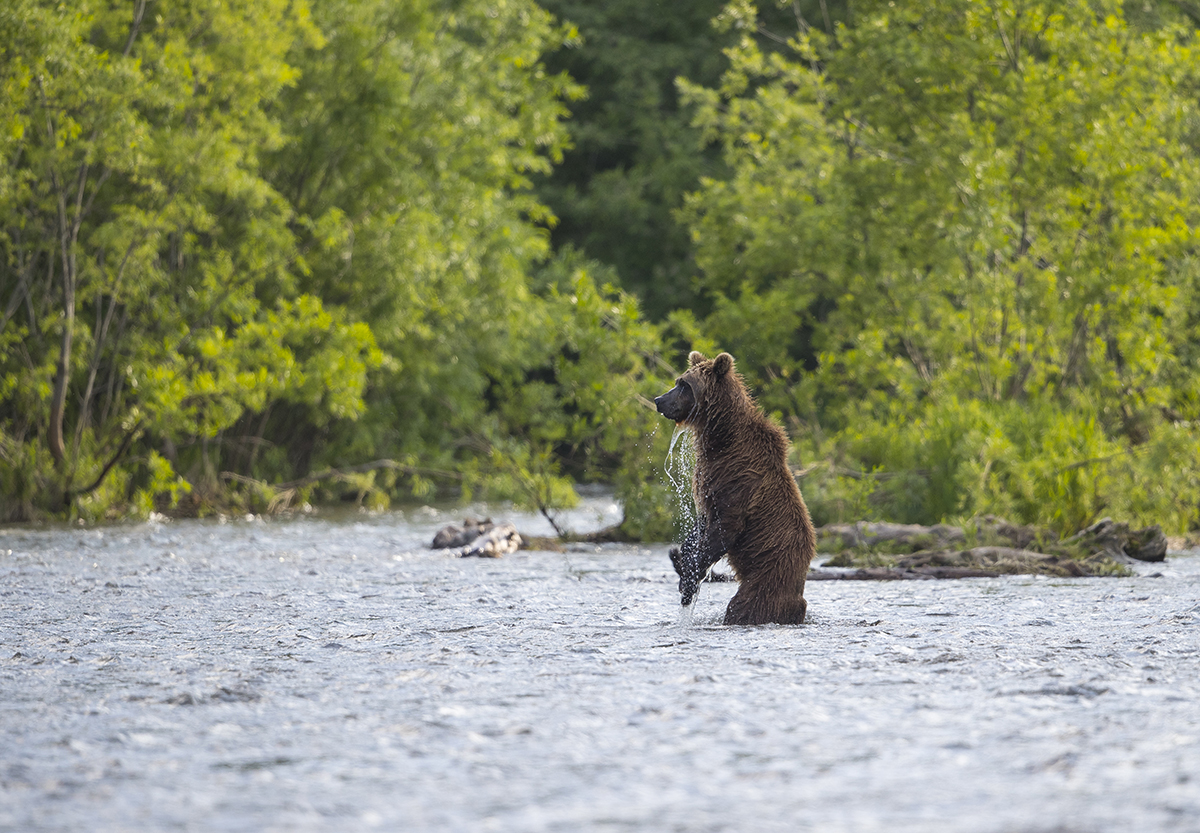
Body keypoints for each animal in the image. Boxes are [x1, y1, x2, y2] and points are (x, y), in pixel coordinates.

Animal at [657, 352, 816, 624]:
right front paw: (682, 558)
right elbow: (702, 523)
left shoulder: (739, 481)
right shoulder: (711, 481)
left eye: (684, 385)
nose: (659, 400)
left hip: (765, 580)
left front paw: (690, 581)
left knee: (744, 606)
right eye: (679, 381)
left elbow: (726, 529)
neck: (721, 438)